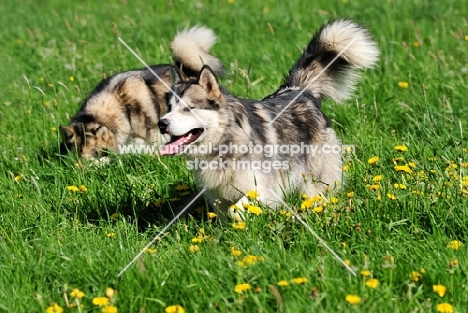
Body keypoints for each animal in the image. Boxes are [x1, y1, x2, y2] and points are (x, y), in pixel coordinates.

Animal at [159, 20, 378, 219]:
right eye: (169, 108)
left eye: (188, 108)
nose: (162, 123)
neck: (224, 142)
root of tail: (298, 90)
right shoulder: (218, 195)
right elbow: (223, 216)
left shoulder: (266, 187)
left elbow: (236, 211)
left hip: (314, 177)